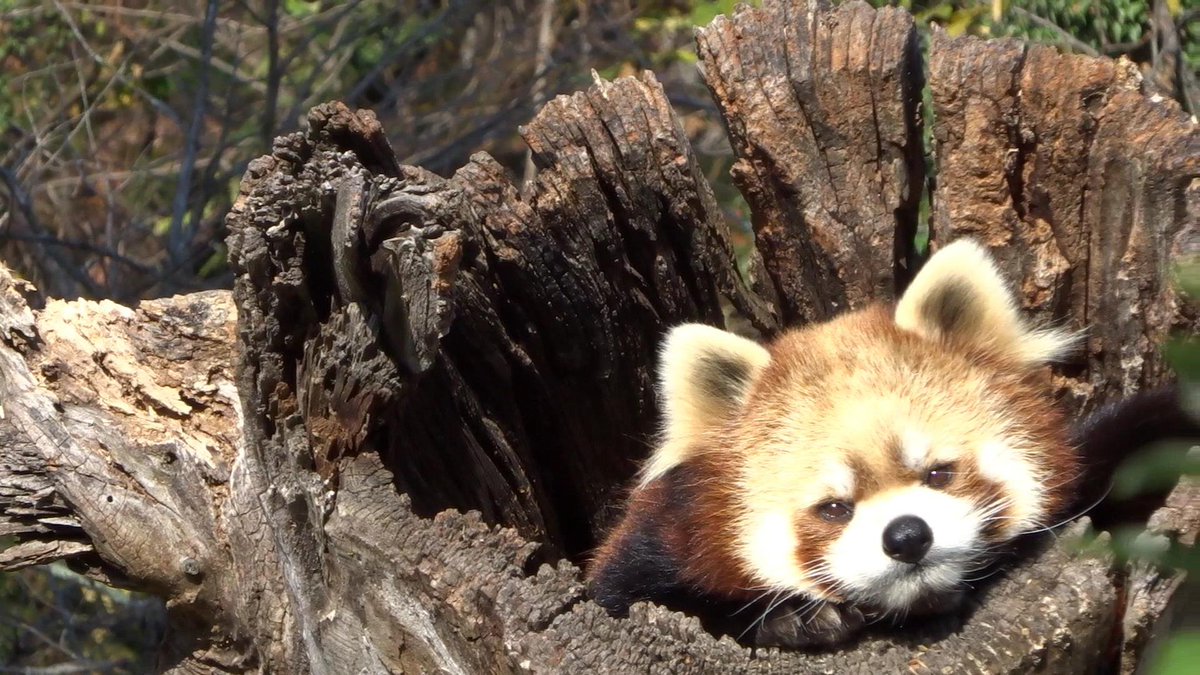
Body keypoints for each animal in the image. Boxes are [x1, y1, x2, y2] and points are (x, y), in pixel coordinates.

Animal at [590, 240, 1200, 648]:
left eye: (939, 472)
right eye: (833, 508)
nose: (907, 537)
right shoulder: (651, 546)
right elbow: (628, 594)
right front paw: (797, 617)